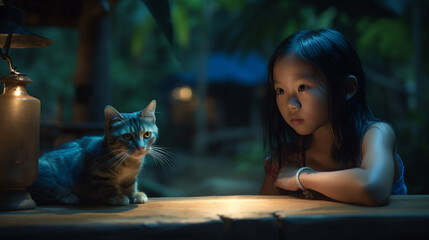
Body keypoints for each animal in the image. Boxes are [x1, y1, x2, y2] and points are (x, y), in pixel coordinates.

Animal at [29, 100, 158, 205]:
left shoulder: (130, 178)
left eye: (147, 134)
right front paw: (117, 196)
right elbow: (107, 186)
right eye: (127, 136)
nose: (141, 147)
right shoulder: (98, 175)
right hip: (54, 179)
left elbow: (130, 185)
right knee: (43, 196)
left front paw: (134, 194)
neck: (129, 162)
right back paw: (69, 197)